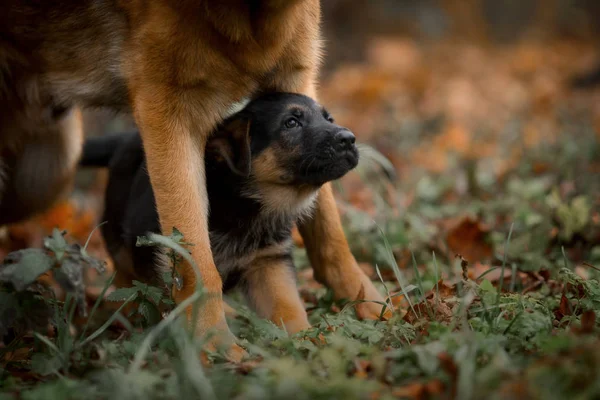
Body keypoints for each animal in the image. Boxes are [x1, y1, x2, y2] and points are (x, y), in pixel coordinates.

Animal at [82, 94, 358, 334]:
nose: (349, 139)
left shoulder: (269, 261)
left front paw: (310, 339)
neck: (243, 204)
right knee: (125, 280)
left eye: (329, 119)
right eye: (291, 122)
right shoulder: (157, 258)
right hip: (120, 239)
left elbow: (289, 308)